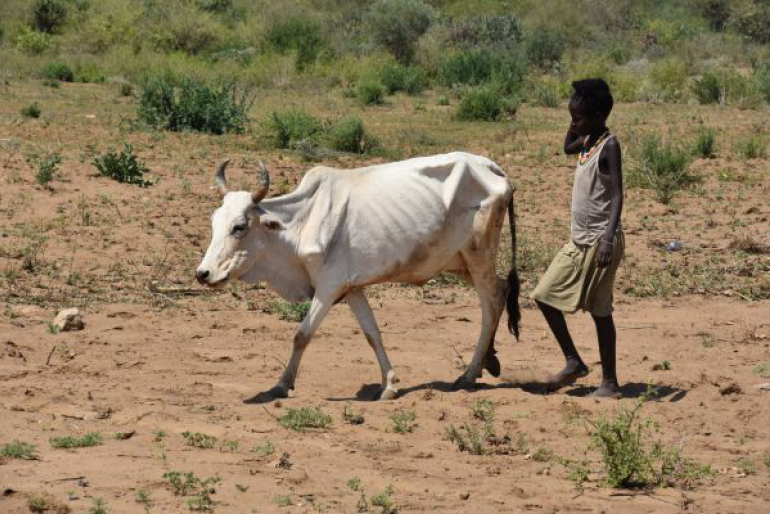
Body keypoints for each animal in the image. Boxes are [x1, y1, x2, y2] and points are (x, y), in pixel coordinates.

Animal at [196, 152, 519, 402]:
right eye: (213, 222)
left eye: (239, 226)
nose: (203, 273)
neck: (302, 222)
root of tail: (492, 167)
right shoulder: (352, 288)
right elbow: (372, 334)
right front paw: (389, 385)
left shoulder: (329, 286)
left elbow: (302, 335)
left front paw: (281, 385)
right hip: (463, 264)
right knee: (503, 289)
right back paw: (488, 361)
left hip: (478, 256)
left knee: (491, 303)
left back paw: (469, 374)